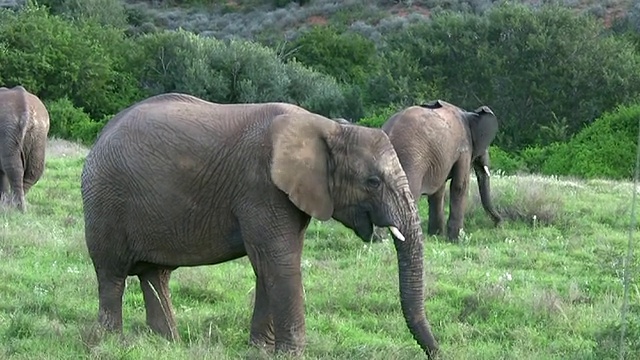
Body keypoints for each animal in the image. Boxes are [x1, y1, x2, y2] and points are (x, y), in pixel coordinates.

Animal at [81, 92, 440, 358]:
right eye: (373, 182)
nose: (436, 352)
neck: (325, 127)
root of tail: (102, 135)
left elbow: (273, 262)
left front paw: (261, 351)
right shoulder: (260, 187)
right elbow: (279, 261)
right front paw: (291, 354)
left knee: (156, 275)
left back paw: (166, 345)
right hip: (106, 201)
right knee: (112, 274)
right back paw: (111, 343)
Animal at [376, 100, 504, 243]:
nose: (499, 224)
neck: (468, 114)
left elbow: (438, 192)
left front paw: (436, 235)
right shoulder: (464, 148)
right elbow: (460, 186)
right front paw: (457, 240)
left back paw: (377, 239)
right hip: (410, 160)